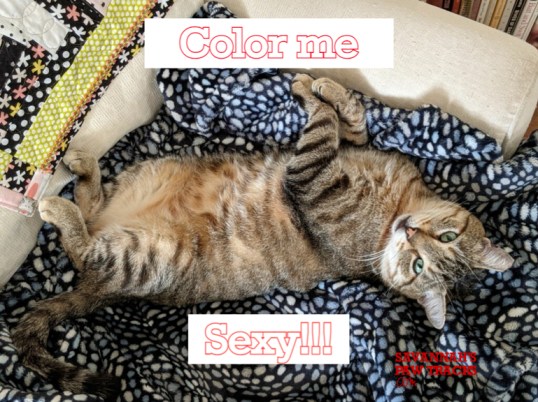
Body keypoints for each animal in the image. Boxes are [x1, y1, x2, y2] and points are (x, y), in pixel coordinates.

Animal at [12, 74, 513, 400]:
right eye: (446, 236)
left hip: (149, 256)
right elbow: (352, 116)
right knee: (93, 205)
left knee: (83, 248)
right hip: (148, 172)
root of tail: (98, 291)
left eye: (419, 265)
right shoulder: (352, 149)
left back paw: (55, 206)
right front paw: (319, 85)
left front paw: (308, 91)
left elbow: (322, 126)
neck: (397, 204)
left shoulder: (312, 178)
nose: (411, 233)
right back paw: (82, 166)